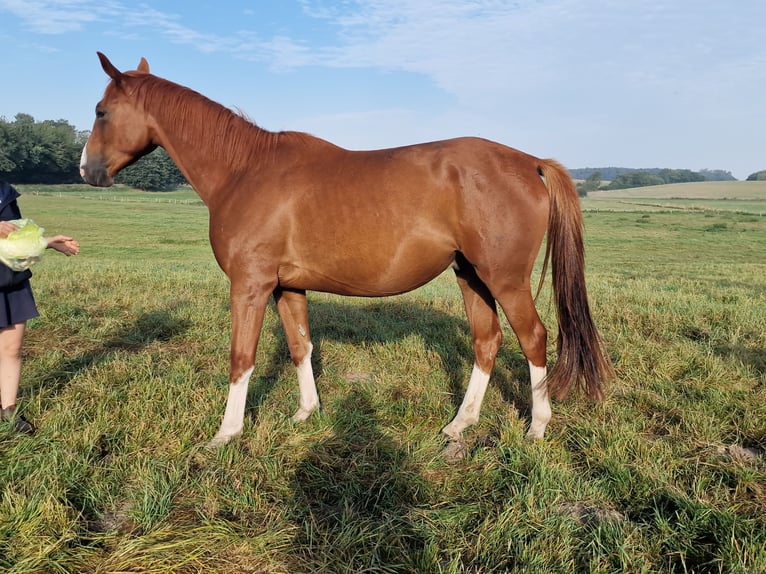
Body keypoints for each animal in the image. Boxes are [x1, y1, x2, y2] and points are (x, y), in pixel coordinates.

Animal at [81, 53, 616, 450]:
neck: (245, 170)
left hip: (504, 278)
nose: (86, 170)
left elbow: (241, 357)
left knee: (534, 338)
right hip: (472, 276)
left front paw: (226, 434)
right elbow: (301, 346)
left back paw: (537, 426)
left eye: (101, 112)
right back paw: (459, 424)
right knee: (487, 342)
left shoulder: (250, 285)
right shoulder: (287, 287)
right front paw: (306, 412)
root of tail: (529, 162)